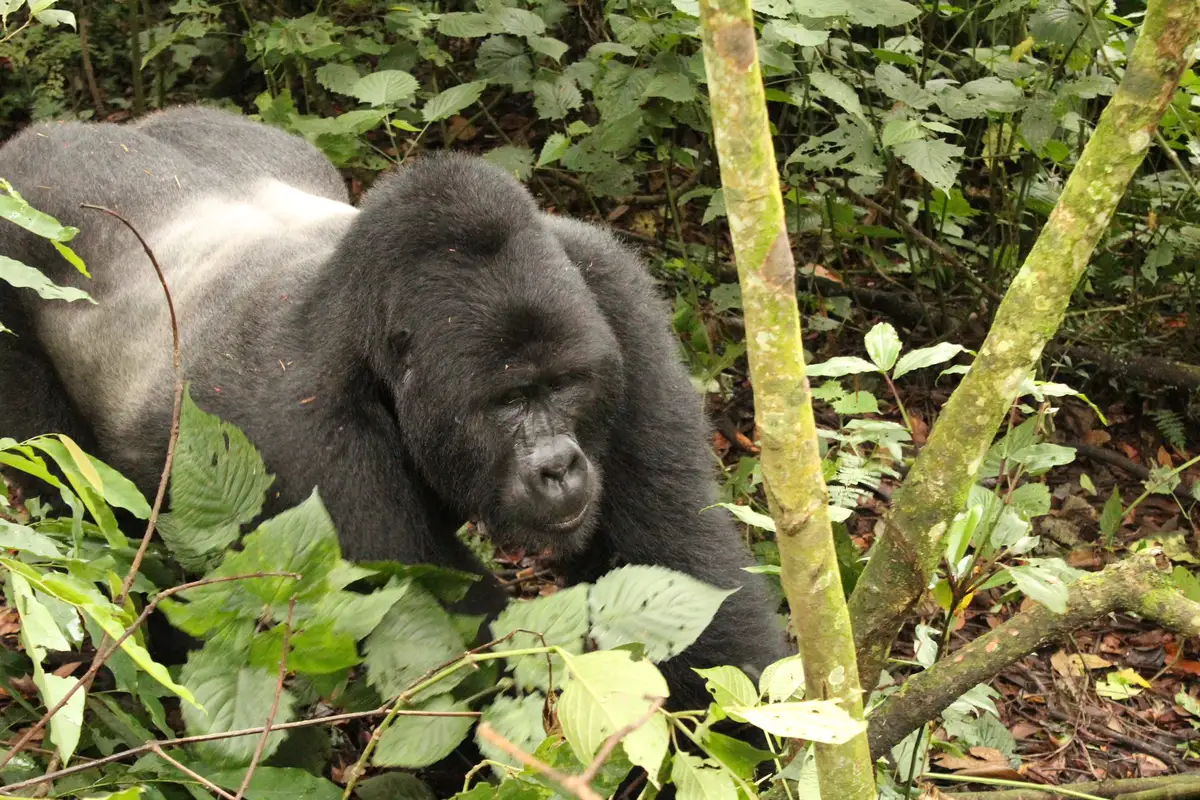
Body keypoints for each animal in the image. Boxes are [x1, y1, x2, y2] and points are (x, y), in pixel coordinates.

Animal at [0, 103, 787, 705]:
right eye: (508, 400)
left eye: (564, 386)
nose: (560, 466)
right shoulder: (308, 426)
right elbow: (445, 667)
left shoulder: (613, 293)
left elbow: (682, 567)